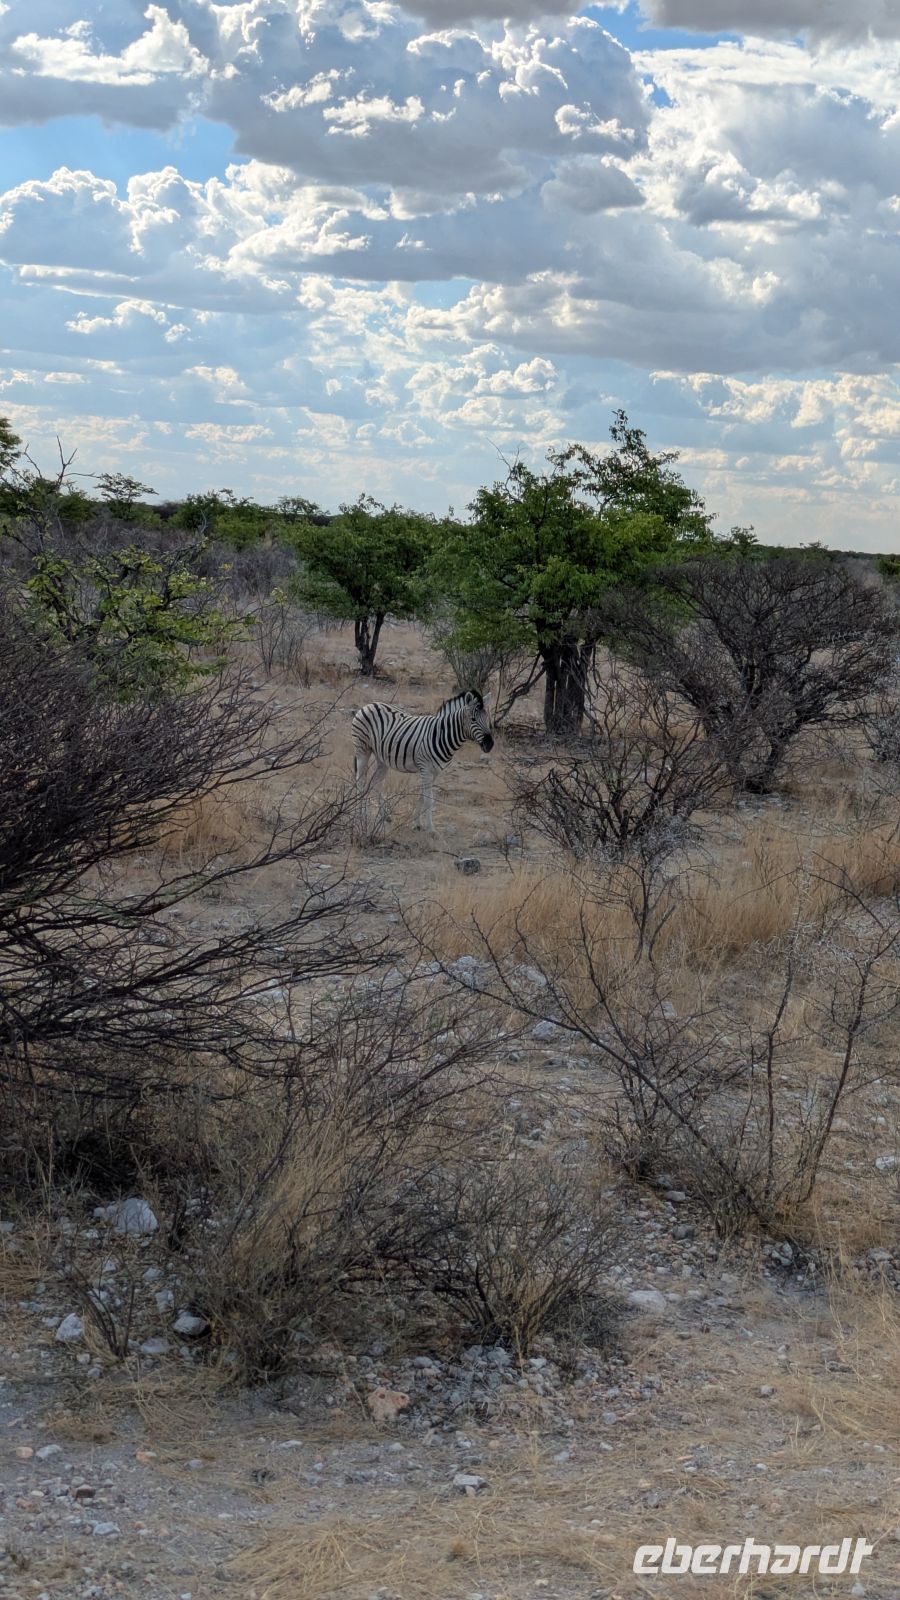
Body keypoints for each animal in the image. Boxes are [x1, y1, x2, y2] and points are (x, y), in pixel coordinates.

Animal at [351, 689, 494, 832]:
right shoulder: (425, 769)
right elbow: (428, 800)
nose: (490, 745)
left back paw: (384, 816)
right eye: (473, 719)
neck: (441, 735)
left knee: (376, 783)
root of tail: (369, 704)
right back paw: (360, 815)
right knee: (360, 782)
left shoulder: (435, 771)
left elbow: (423, 797)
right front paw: (431, 830)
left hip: (382, 758)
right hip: (362, 749)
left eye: (487, 718)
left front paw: (417, 823)